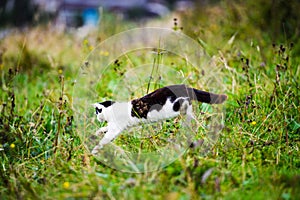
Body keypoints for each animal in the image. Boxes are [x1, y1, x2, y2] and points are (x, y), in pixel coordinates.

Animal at [91, 83, 227, 154]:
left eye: (97, 112)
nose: (97, 118)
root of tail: (183, 86)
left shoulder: (116, 127)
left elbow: (105, 138)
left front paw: (95, 149)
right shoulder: (118, 126)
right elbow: (105, 129)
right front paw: (98, 132)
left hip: (173, 107)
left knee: (187, 106)